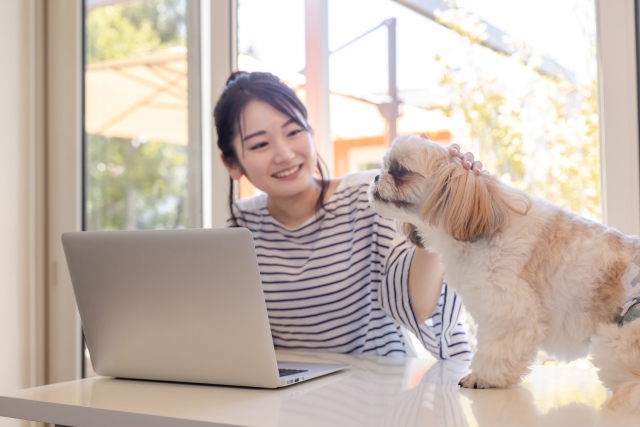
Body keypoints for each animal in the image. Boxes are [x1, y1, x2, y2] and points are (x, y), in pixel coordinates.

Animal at [368, 136, 640, 412]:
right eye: (384, 167)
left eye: (400, 171)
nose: (376, 177)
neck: (485, 224)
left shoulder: (510, 310)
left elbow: (497, 349)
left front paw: (483, 377)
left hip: (617, 337)